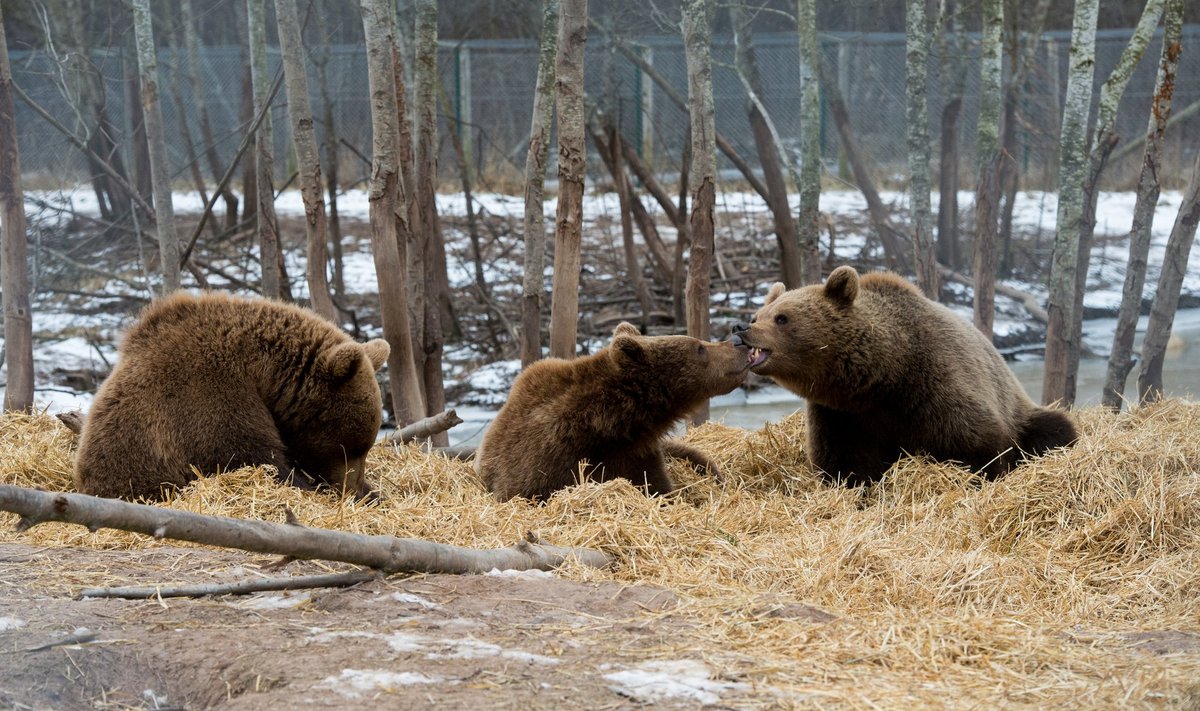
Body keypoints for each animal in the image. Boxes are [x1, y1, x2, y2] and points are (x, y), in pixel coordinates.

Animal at [729, 266, 1080, 490]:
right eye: (758, 315)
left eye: (782, 318)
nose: (742, 327)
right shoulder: (841, 416)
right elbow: (843, 461)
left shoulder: (935, 387)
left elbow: (978, 439)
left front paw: (982, 475)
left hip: (1021, 411)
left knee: (1054, 428)